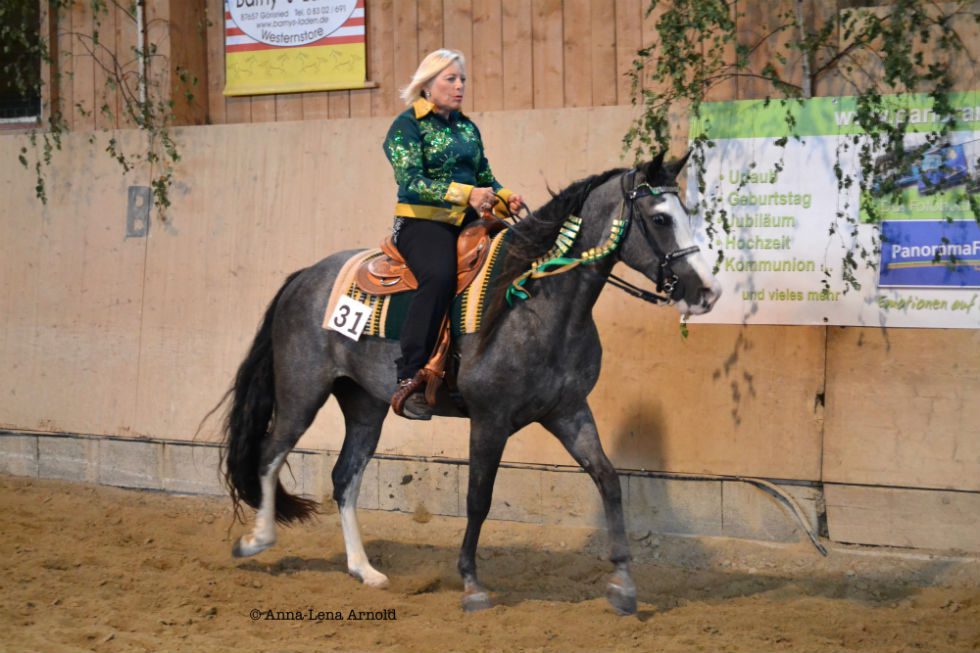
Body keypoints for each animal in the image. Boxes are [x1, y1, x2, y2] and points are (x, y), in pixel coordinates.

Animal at [220, 152, 720, 612]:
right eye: (659, 218)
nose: (707, 292)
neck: (537, 302)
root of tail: (303, 277)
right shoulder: (489, 419)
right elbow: (479, 498)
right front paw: (472, 584)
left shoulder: (568, 412)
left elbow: (609, 480)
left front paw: (623, 584)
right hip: (302, 392)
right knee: (270, 454)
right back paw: (256, 541)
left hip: (365, 405)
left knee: (344, 477)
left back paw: (365, 570)